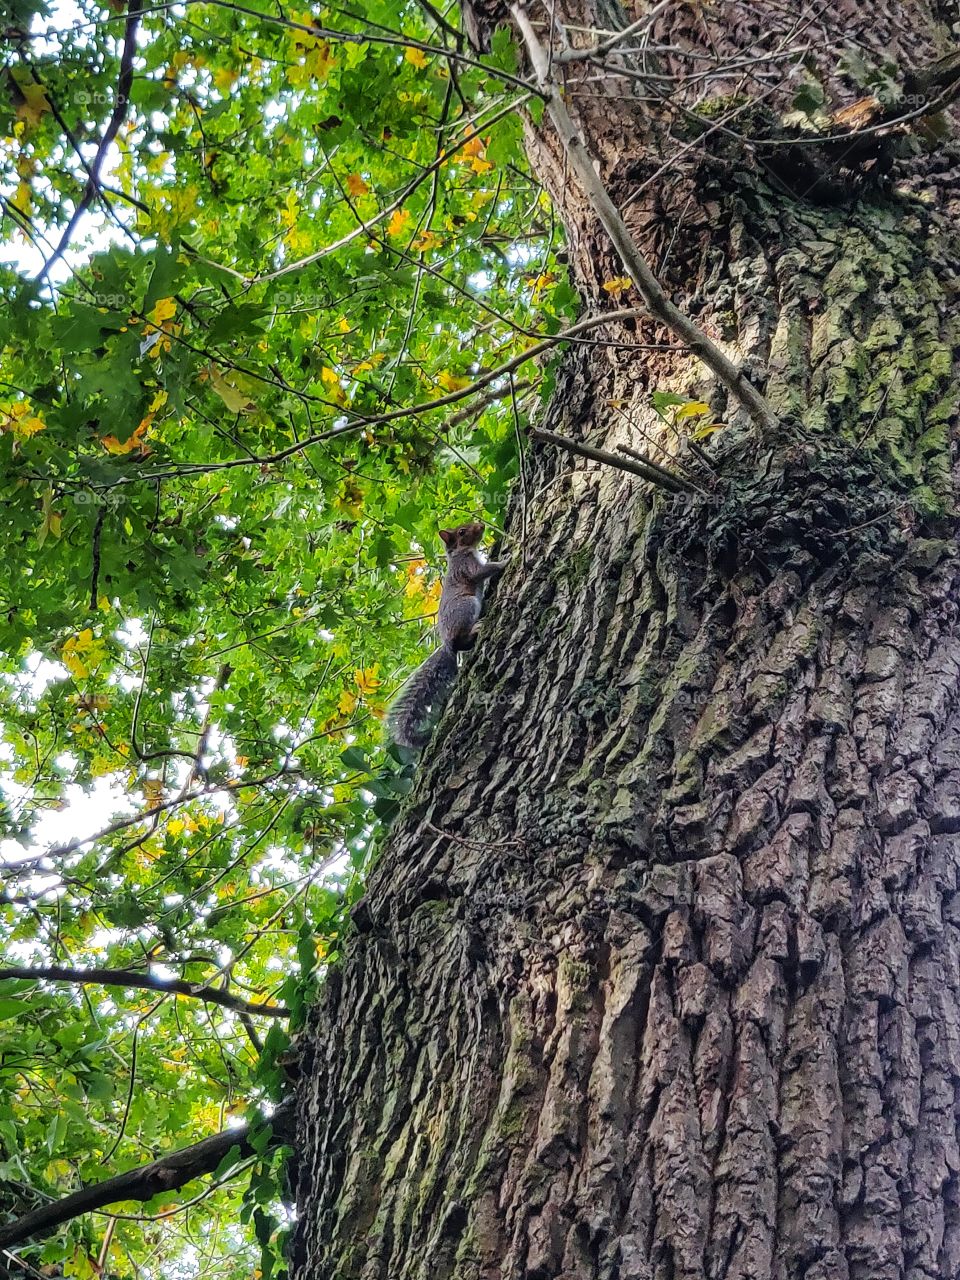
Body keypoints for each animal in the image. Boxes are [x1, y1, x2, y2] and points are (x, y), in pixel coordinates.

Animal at [388, 522, 507, 749]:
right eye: (461, 532)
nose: (481, 525)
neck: (461, 552)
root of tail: (447, 645)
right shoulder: (466, 566)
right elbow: (482, 571)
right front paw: (506, 560)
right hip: (467, 605)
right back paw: (475, 629)